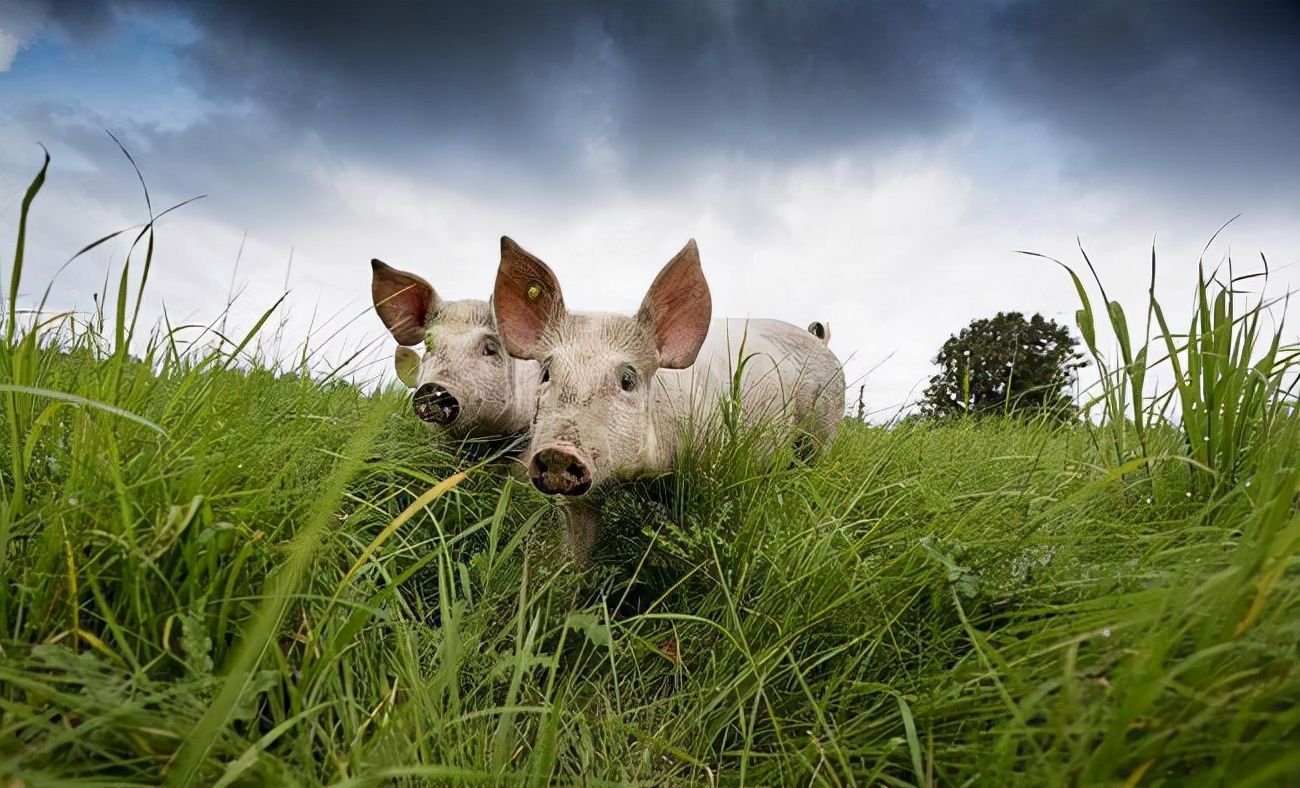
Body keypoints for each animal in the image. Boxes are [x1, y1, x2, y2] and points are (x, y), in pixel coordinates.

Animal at [491, 236, 847, 561]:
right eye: (546, 374)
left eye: (628, 380)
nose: (558, 452)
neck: (642, 478)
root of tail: (822, 342)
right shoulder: (579, 500)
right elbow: (576, 547)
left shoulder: (711, 473)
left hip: (824, 431)